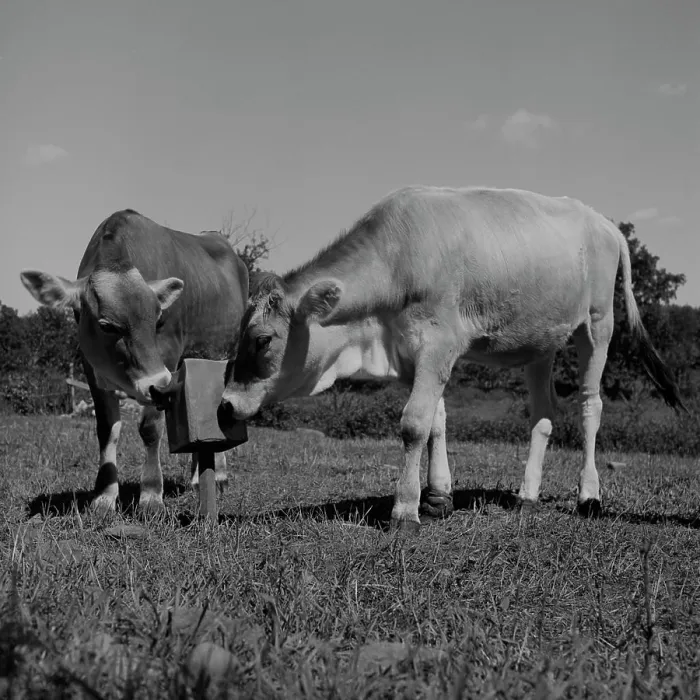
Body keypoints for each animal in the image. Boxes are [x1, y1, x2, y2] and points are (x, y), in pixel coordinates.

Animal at [20, 209, 249, 515]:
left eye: (158, 319)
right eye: (106, 325)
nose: (158, 384)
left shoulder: (165, 364)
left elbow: (150, 428)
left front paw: (151, 493)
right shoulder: (92, 368)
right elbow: (107, 429)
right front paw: (104, 495)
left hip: (225, 352)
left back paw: (219, 476)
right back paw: (196, 477)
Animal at [218, 185, 687, 532]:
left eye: (262, 339)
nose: (225, 404)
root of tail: (604, 222)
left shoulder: (438, 340)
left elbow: (413, 423)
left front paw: (405, 509)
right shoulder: (412, 350)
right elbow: (436, 419)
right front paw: (438, 494)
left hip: (598, 323)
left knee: (591, 406)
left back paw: (589, 495)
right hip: (541, 343)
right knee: (543, 413)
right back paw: (527, 495)